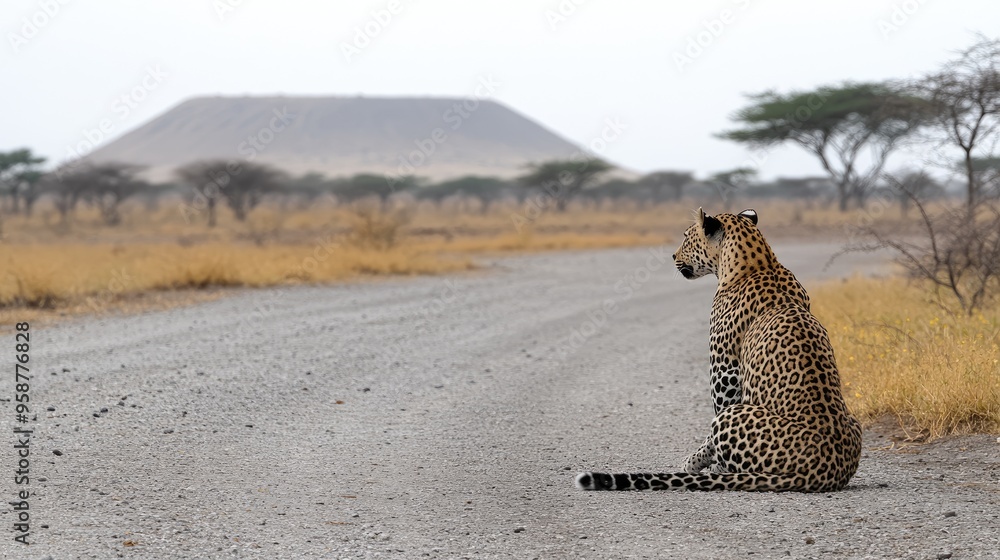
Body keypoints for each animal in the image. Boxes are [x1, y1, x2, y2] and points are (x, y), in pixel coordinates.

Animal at [576, 208, 863, 492]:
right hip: (855, 421)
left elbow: (711, 433)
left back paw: (716, 468)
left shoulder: (725, 375)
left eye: (686, 237)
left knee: (734, 461)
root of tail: (827, 471)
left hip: (733, 415)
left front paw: (693, 462)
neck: (761, 263)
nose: (673, 256)